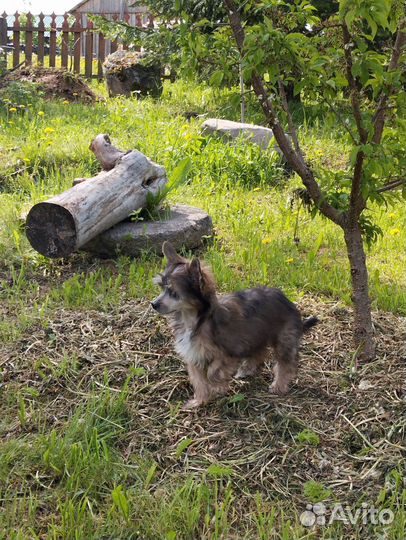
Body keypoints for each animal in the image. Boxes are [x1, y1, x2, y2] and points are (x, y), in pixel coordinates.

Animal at [151, 242, 318, 410]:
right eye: (162, 288)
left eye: (173, 292)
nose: (153, 304)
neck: (195, 321)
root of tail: (286, 299)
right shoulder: (194, 355)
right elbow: (199, 381)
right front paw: (199, 401)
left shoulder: (230, 353)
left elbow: (213, 373)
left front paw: (218, 387)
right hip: (256, 334)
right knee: (259, 352)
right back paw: (246, 369)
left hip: (283, 339)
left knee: (285, 364)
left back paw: (279, 386)